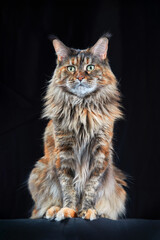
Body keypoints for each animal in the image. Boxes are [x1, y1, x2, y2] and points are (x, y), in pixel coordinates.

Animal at [28, 33, 127, 221]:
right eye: (71, 68)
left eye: (90, 67)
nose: (80, 77)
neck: (83, 108)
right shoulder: (64, 154)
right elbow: (68, 189)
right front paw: (68, 210)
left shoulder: (100, 154)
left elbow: (89, 189)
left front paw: (87, 211)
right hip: (39, 170)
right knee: (44, 205)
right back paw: (53, 211)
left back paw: (102, 213)